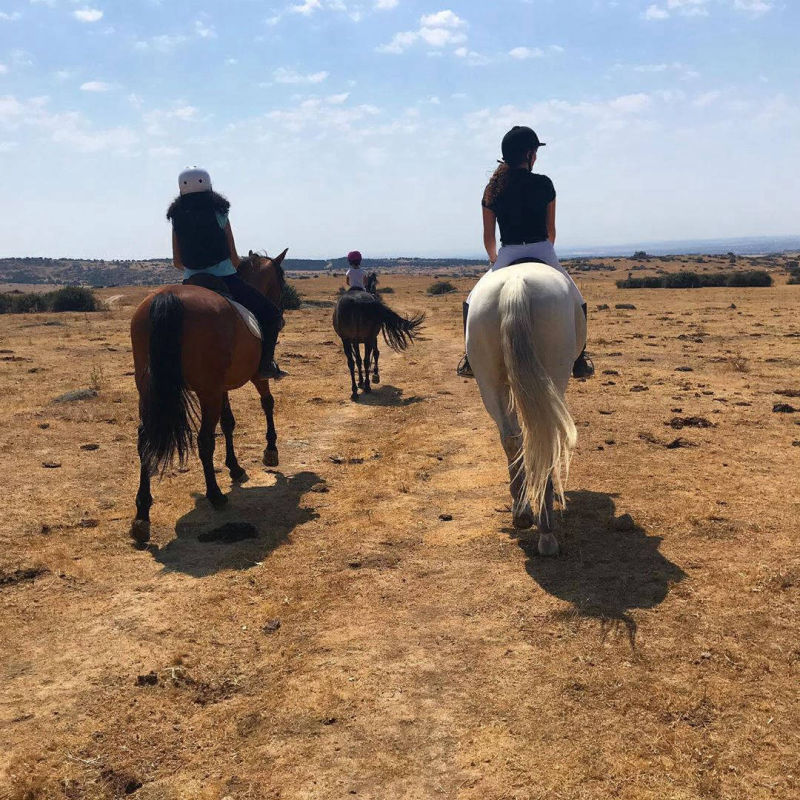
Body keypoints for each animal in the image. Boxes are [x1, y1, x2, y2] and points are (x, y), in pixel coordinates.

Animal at [129, 249, 288, 544]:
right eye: (281, 282)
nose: (281, 316)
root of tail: (167, 299)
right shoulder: (255, 376)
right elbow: (267, 403)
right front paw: (270, 450)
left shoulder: (220, 387)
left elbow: (228, 423)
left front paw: (235, 467)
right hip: (206, 392)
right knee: (204, 440)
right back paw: (215, 495)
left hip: (150, 390)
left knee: (145, 440)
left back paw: (142, 514)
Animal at [466, 259, 584, 556]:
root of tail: (515, 283)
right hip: (554, 373)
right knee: (547, 438)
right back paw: (546, 529)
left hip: (488, 380)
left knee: (512, 437)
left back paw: (521, 513)